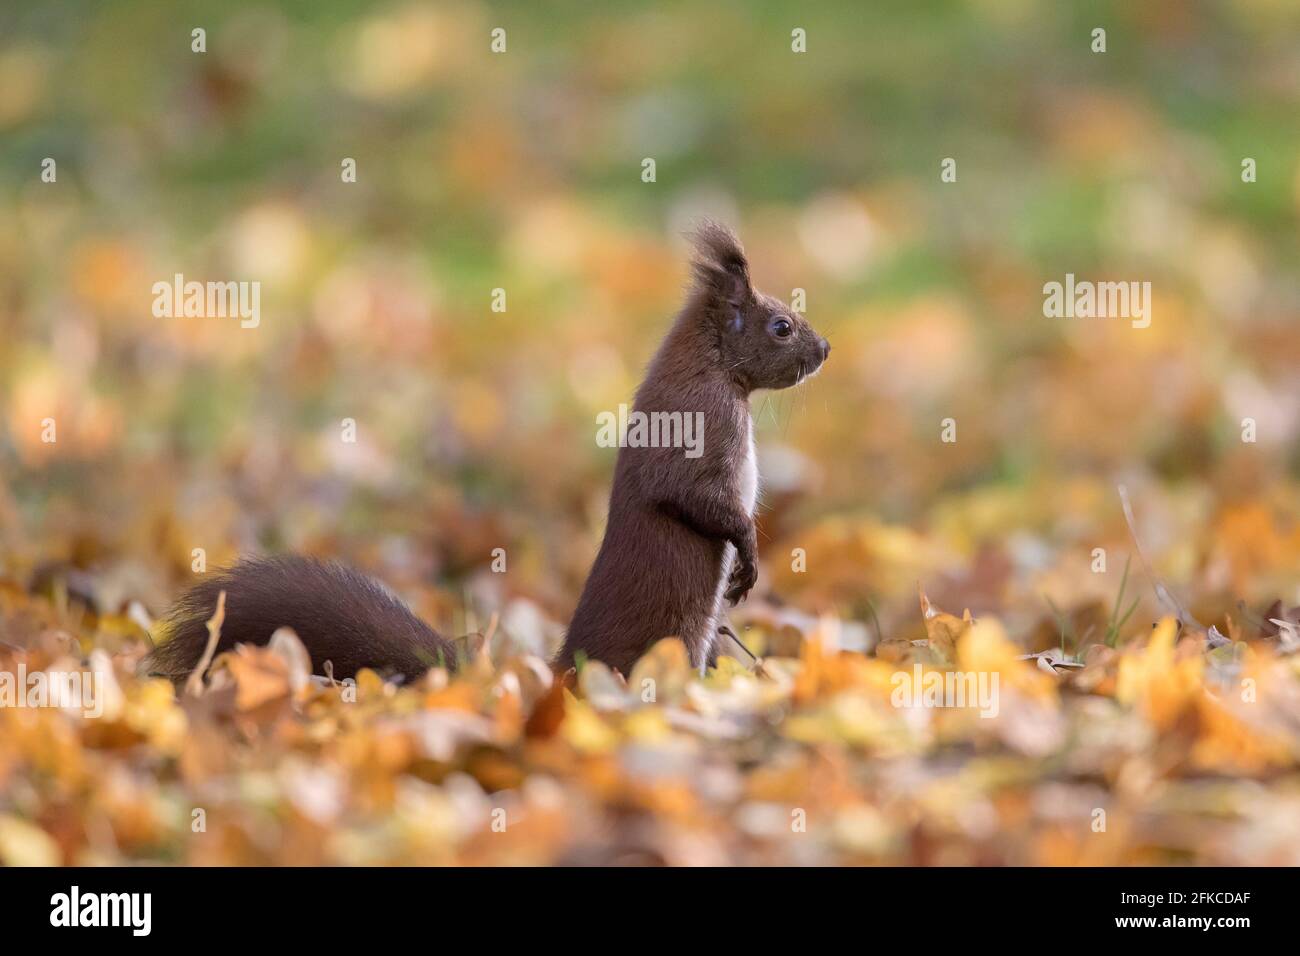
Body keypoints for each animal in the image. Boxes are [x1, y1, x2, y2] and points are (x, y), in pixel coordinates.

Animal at [144, 222, 832, 686]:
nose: (824, 349)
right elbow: (698, 500)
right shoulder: (697, 432)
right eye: (781, 327)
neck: (715, 370)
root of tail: (561, 674)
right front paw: (749, 553)